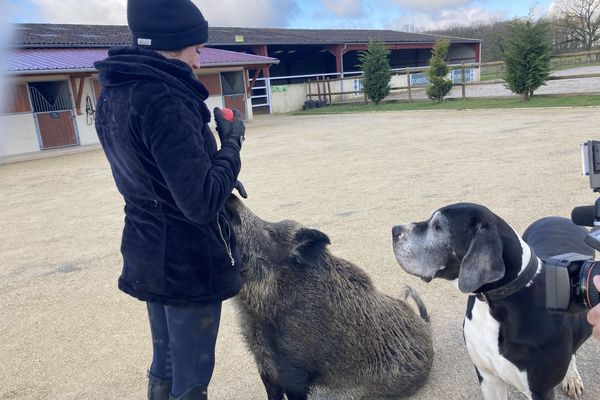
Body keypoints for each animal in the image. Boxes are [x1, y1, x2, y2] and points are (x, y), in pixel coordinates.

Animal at [392, 205, 592, 400]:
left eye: (438, 227)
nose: (394, 230)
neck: (492, 304)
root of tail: (556, 218)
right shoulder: (487, 377)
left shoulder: (541, 390)